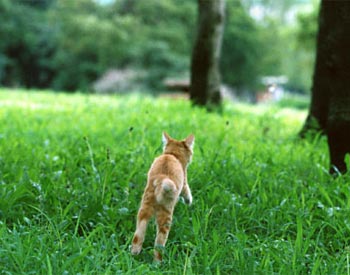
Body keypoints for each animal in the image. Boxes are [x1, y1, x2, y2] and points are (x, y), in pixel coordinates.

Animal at [131, 133, 194, 262]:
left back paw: (134, 254)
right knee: (159, 244)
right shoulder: (184, 181)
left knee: (138, 236)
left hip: (143, 210)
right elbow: (187, 191)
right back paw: (158, 263)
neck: (172, 155)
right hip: (166, 216)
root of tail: (161, 179)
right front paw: (188, 201)